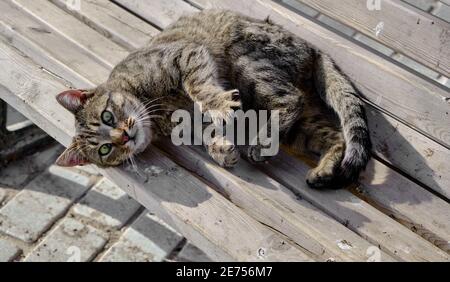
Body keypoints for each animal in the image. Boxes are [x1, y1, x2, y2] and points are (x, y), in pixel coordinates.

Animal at [55, 9, 372, 188]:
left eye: (107, 116)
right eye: (105, 150)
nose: (123, 137)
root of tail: (314, 49)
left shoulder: (186, 55)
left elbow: (200, 88)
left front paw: (219, 106)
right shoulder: (187, 123)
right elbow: (207, 134)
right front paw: (221, 150)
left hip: (246, 61)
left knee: (291, 100)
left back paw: (261, 142)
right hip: (301, 126)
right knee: (335, 136)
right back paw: (323, 169)